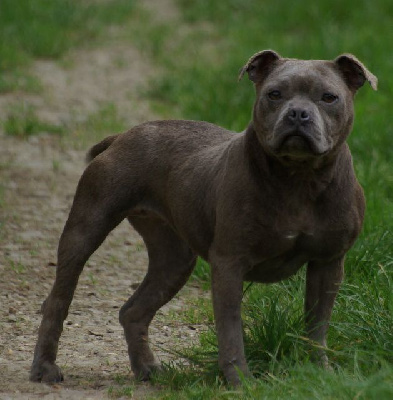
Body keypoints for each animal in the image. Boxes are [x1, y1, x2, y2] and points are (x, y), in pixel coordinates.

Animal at [29, 49, 376, 384]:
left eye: (329, 97)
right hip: (86, 230)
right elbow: (231, 329)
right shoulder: (229, 265)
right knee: (58, 300)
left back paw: (147, 369)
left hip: (173, 260)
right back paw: (45, 368)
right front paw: (240, 380)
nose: (298, 114)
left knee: (133, 311)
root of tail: (121, 136)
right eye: (274, 94)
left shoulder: (328, 264)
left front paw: (320, 370)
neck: (299, 178)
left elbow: (317, 327)